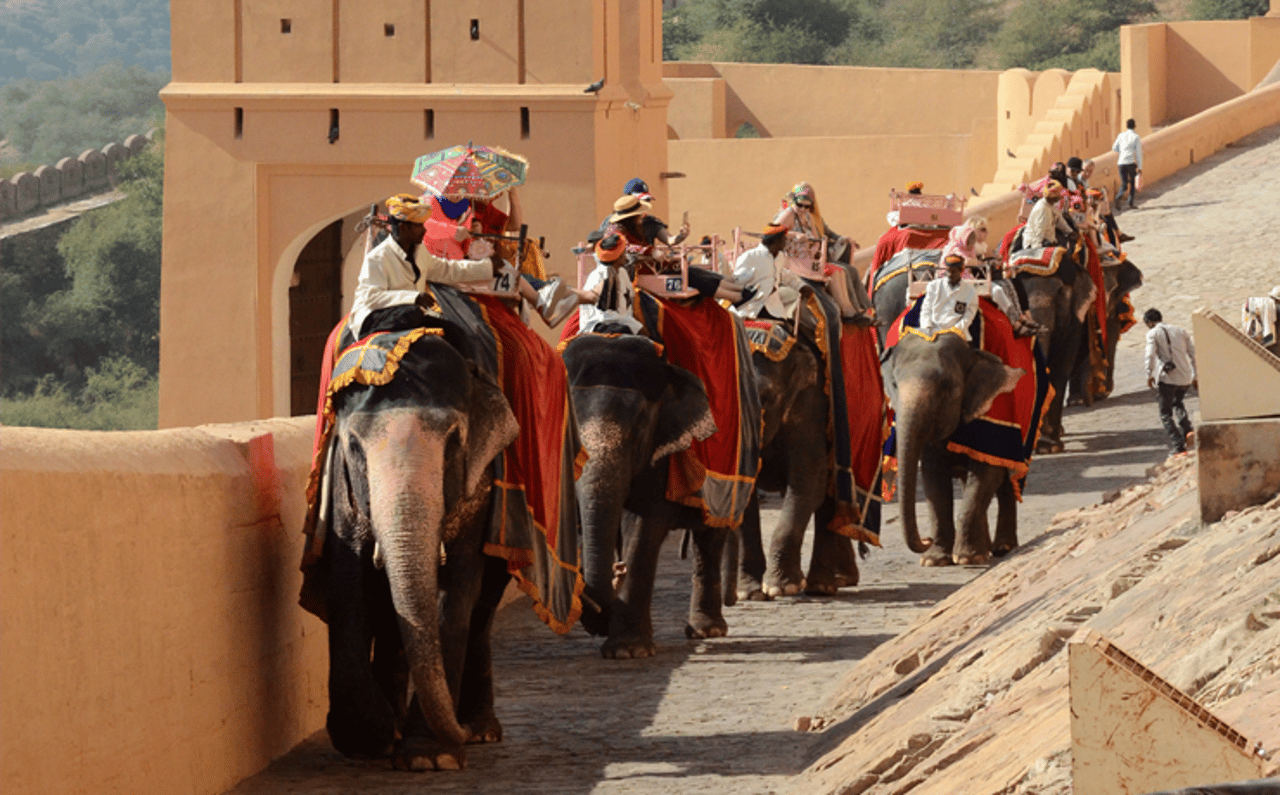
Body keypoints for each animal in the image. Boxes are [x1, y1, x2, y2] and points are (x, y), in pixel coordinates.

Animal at [312, 330, 522, 768]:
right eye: (354, 446)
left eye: (454, 441)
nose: (460, 734)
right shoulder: (343, 490)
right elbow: (350, 587)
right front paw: (372, 740)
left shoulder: (478, 491)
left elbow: (453, 594)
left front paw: (430, 758)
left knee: (481, 611)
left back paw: (480, 730)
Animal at [560, 332, 732, 655]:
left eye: (640, 426)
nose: (617, 569)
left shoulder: (662, 447)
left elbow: (643, 524)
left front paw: (627, 651)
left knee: (711, 535)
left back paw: (707, 630)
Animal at [885, 327, 1024, 563]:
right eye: (894, 385)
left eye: (946, 386)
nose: (926, 540)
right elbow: (933, 479)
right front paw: (934, 560)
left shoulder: (991, 410)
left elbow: (987, 473)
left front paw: (967, 558)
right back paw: (986, 547)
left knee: (1006, 479)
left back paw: (1002, 548)